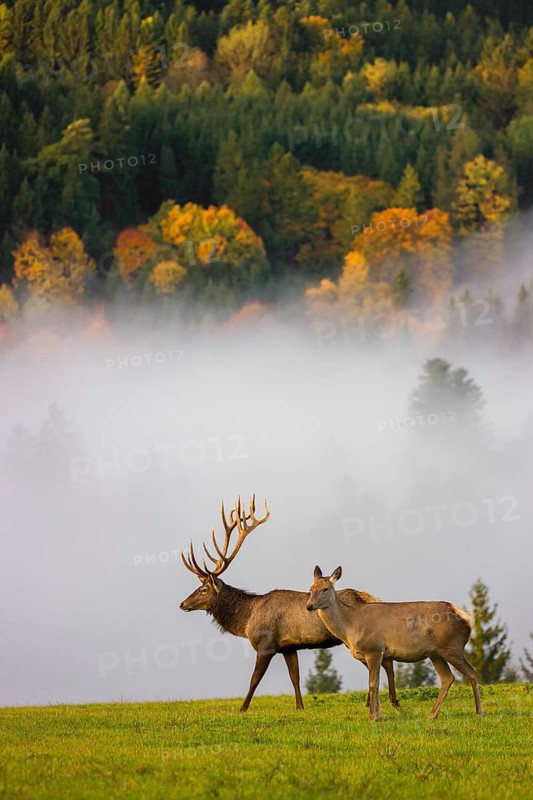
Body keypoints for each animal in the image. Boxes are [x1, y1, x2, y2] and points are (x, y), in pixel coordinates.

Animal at [179, 496, 399, 712]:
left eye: (204, 589)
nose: (182, 604)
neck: (247, 619)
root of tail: (371, 598)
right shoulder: (288, 647)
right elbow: (295, 677)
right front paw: (300, 707)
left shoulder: (266, 644)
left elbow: (254, 680)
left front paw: (242, 708)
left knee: (384, 662)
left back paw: (391, 701)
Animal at [307, 565, 483, 721]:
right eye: (311, 588)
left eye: (325, 589)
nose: (309, 606)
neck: (350, 626)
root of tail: (467, 617)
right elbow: (377, 683)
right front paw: (378, 715)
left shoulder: (374, 649)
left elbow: (373, 683)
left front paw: (373, 717)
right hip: (436, 653)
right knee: (447, 678)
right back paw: (432, 714)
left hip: (452, 646)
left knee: (472, 672)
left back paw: (479, 711)